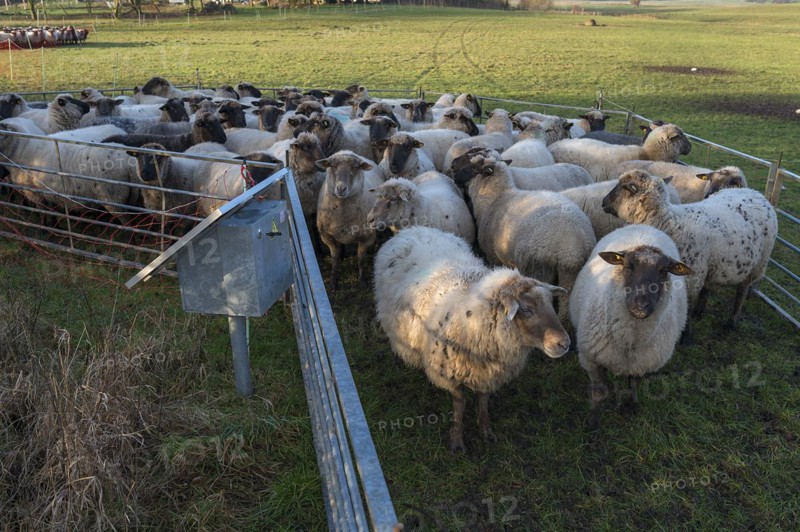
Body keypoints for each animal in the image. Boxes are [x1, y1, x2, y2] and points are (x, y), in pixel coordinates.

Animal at [315, 150, 383, 289]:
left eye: (355, 167)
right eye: (332, 165)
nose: (341, 188)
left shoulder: (366, 237)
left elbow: (360, 260)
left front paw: (362, 281)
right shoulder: (327, 236)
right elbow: (334, 259)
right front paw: (333, 282)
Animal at [374, 226, 570, 451]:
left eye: (550, 303)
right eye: (526, 309)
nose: (564, 343)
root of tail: (412, 229)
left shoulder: (486, 372)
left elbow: (483, 400)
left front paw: (485, 430)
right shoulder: (447, 373)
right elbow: (460, 403)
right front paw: (457, 439)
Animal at [453, 152, 596, 324]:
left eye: (474, 167)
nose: (454, 175)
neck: (496, 197)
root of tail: (571, 245)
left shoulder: (493, 256)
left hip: (539, 268)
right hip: (571, 272)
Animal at [569, 224, 692, 431]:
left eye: (663, 271)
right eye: (628, 266)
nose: (641, 306)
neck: (629, 341)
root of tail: (643, 226)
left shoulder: (642, 363)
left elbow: (634, 385)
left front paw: (631, 406)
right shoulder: (591, 360)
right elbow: (598, 393)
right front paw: (593, 424)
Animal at [601, 169, 778, 334]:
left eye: (623, 186)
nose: (603, 202)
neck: (670, 224)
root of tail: (755, 193)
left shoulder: (691, 280)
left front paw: (686, 334)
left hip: (757, 264)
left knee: (741, 291)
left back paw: (732, 322)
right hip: (713, 266)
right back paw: (699, 311)